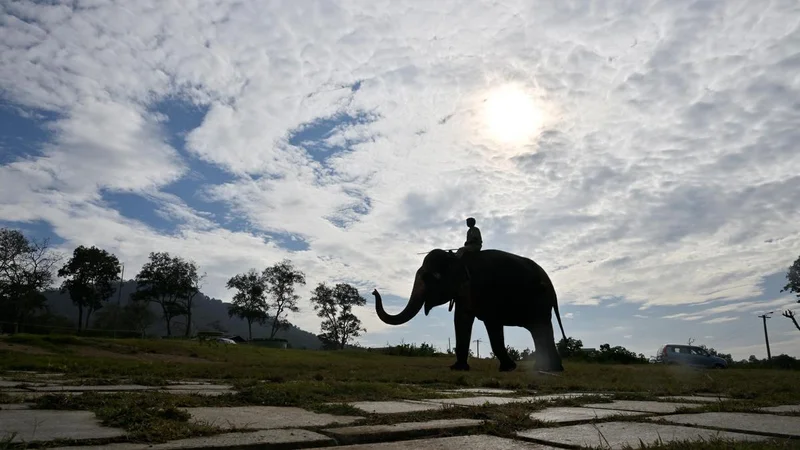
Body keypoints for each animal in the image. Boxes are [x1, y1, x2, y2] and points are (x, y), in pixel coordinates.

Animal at [372, 248, 567, 372]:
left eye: (428, 277)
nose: (374, 291)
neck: (458, 259)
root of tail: (551, 285)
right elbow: (463, 318)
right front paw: (458, 368)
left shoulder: (483, 290)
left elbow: (486, 323)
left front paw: (508, 368)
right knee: (538, 330)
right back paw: (545, 368)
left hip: (540, 300)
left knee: (541, 328)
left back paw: (552, 369)